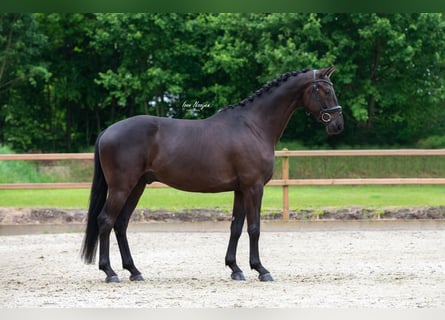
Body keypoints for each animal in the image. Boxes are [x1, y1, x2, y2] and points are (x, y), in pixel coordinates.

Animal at [80, 65, 344, 282]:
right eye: (325, 91)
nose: (338, 125)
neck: (254, 126)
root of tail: (108, 131)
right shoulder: (254, 187)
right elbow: (254, 228)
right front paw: (261, 270)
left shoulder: (240, 189)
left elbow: (236, 226)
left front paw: (235, 269)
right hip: (121, 187)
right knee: (106, 221)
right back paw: (110, 272)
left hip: (137, 186)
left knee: (121, 223)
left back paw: (134, 271)